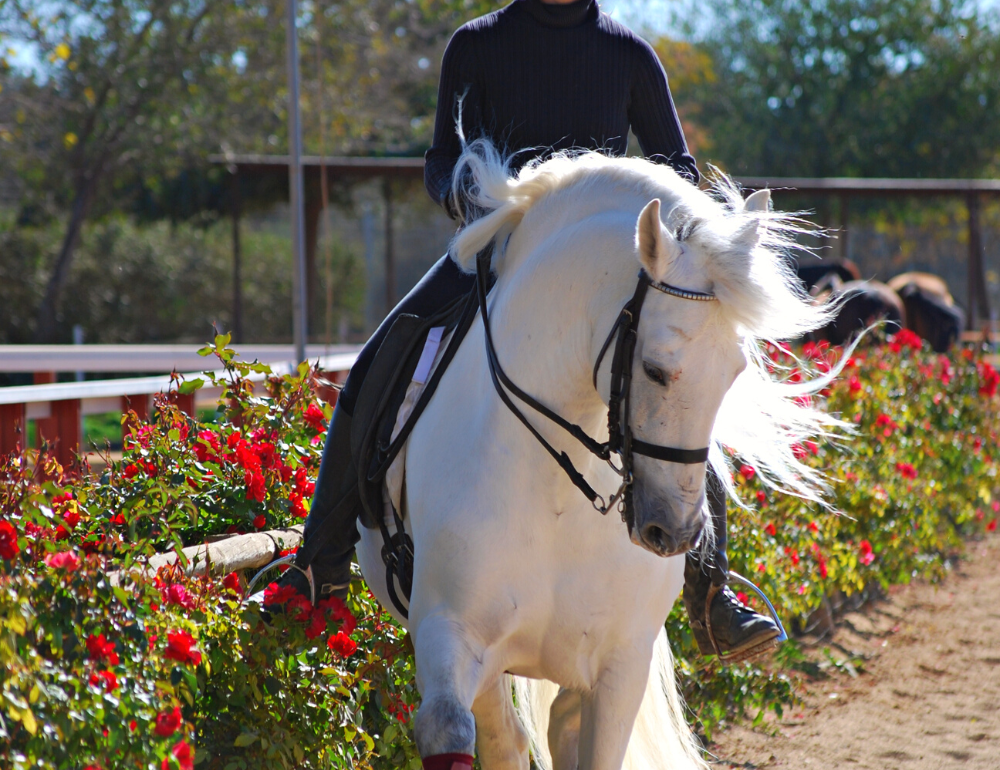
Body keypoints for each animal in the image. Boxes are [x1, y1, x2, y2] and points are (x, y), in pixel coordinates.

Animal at [358, 141, 836, 768]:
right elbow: (463, 731)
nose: (674, 533)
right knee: (510, 734)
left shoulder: (619, 666)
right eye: (655, 369)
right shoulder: (448, 637)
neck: (558, 487)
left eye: (735, 373)